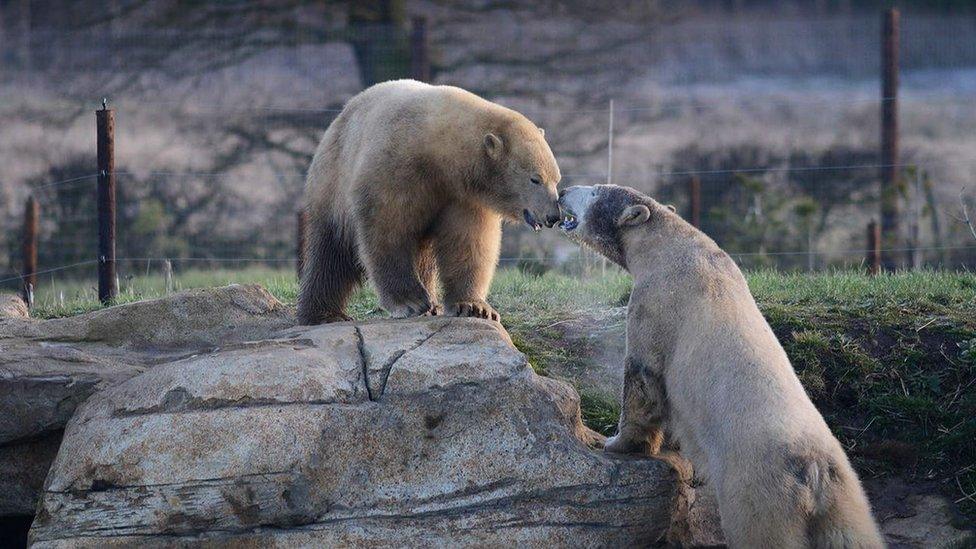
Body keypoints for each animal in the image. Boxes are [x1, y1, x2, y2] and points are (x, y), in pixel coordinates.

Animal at [556, 185, 884, 548]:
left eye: (595, 191)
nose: (564, 190)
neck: (672, 244)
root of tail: (813, 470)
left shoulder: (656, 302)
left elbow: (643, 377)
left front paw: (617, 442)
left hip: (759, 490)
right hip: (845, 496)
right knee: (853, 534)